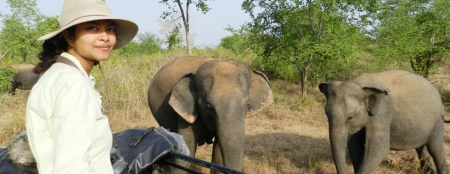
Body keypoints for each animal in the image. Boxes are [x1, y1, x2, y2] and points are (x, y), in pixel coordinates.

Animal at [318, 69, 448, 174]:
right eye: (326, 114)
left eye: (350, 117)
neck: (360, 83)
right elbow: (354, 145)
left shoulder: (383, 112)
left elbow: (378, 149)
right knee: (423, 150)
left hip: (438, 119)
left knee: (435, 148)